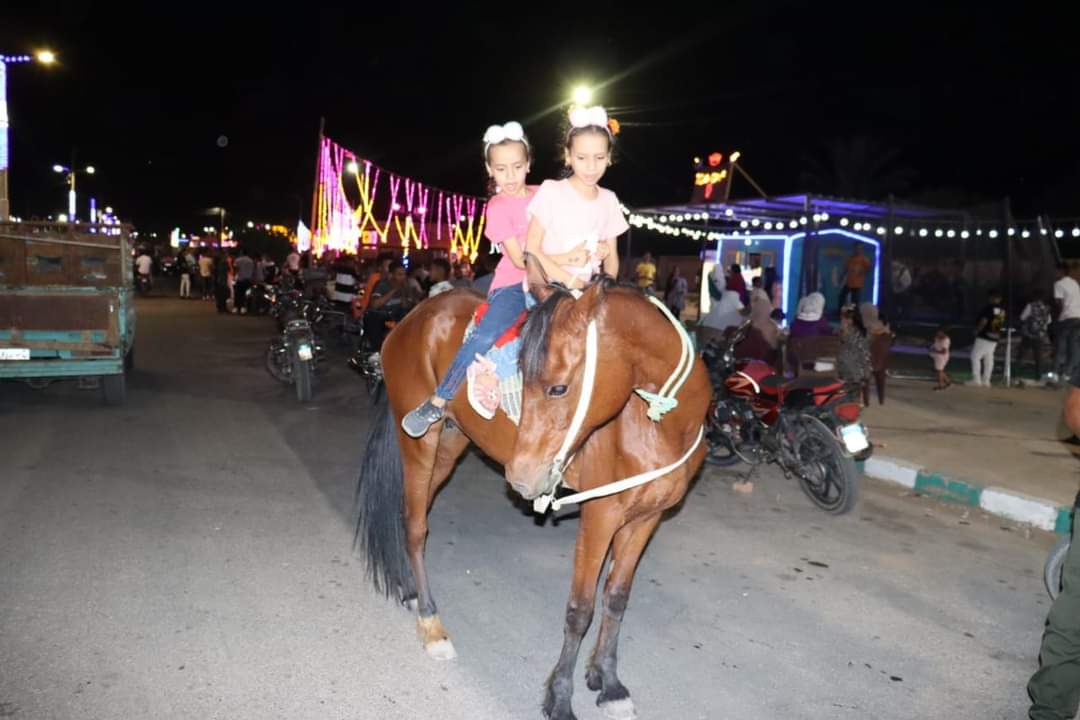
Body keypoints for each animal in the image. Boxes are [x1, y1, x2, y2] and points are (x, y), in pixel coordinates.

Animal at [355, 261, 711, 720]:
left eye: (559, 387)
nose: (521, 477)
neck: (656, 423)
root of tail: (414, 315)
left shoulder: (646, 518)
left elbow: (616, 598)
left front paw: (608, 681)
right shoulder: (601, 516)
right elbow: (581, 609)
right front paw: (559, 697)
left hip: (451, 443)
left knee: (408, 512)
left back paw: (411, 590)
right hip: (421, 443)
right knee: (415, 526)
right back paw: (431, 624)